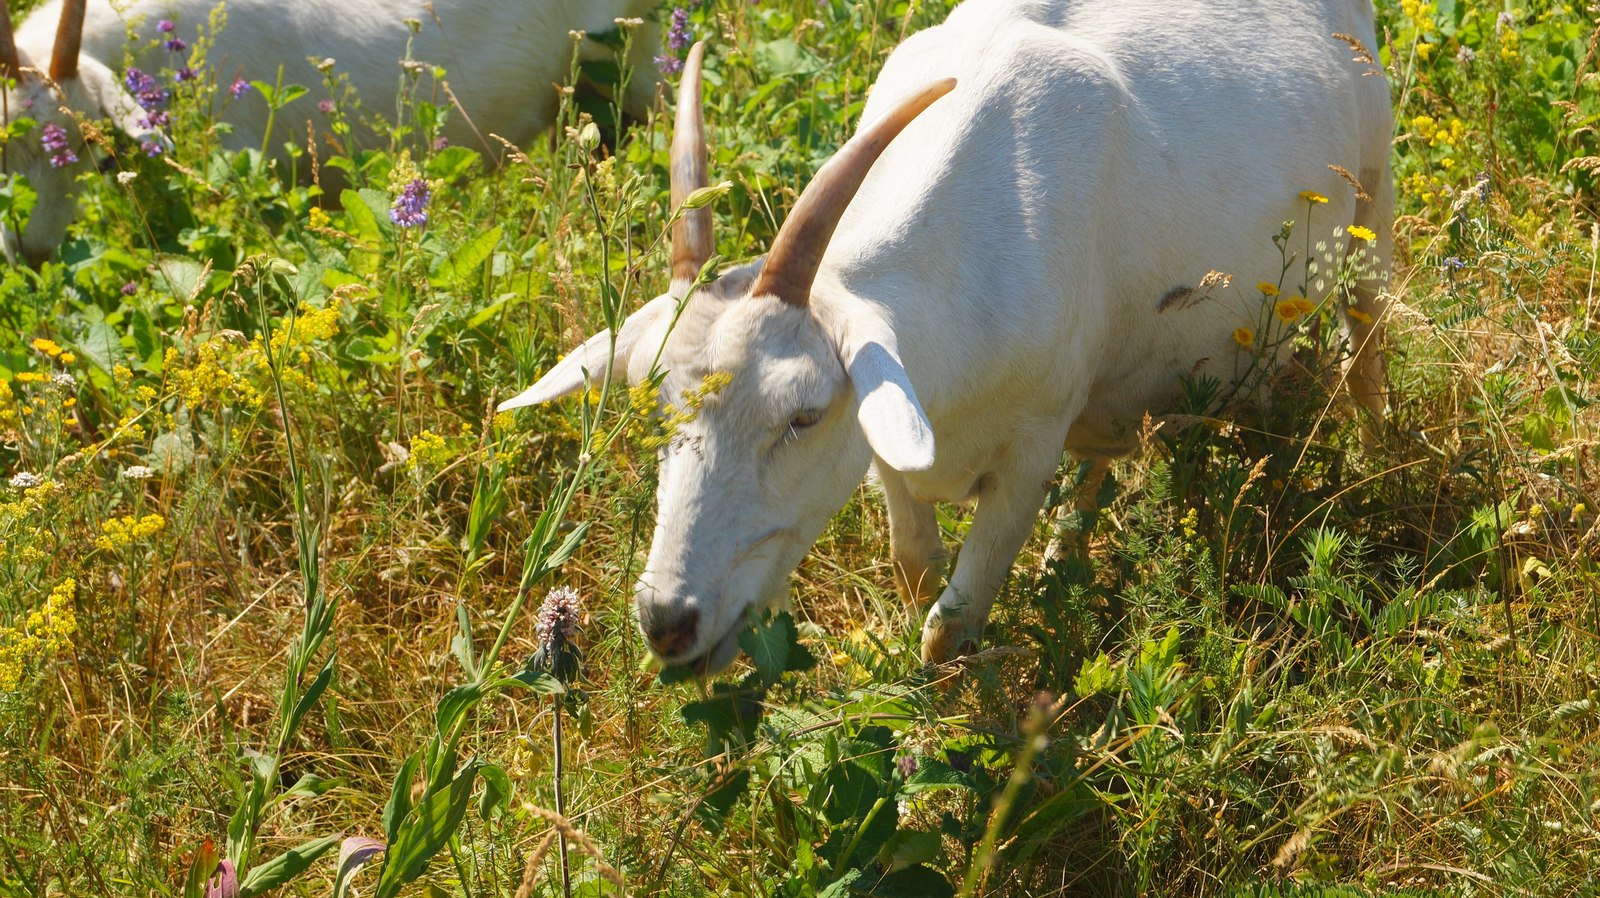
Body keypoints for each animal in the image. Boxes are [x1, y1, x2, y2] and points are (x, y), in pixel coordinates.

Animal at [499, 0, 1388, 672]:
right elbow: (915, 568)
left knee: (1368, 329)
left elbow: (949, 625)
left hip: (1373, 188)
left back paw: (1378, 450)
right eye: (653, 413)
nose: (669, 621)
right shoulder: (892, 427)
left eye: (802, 415)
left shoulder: (1029, 443)